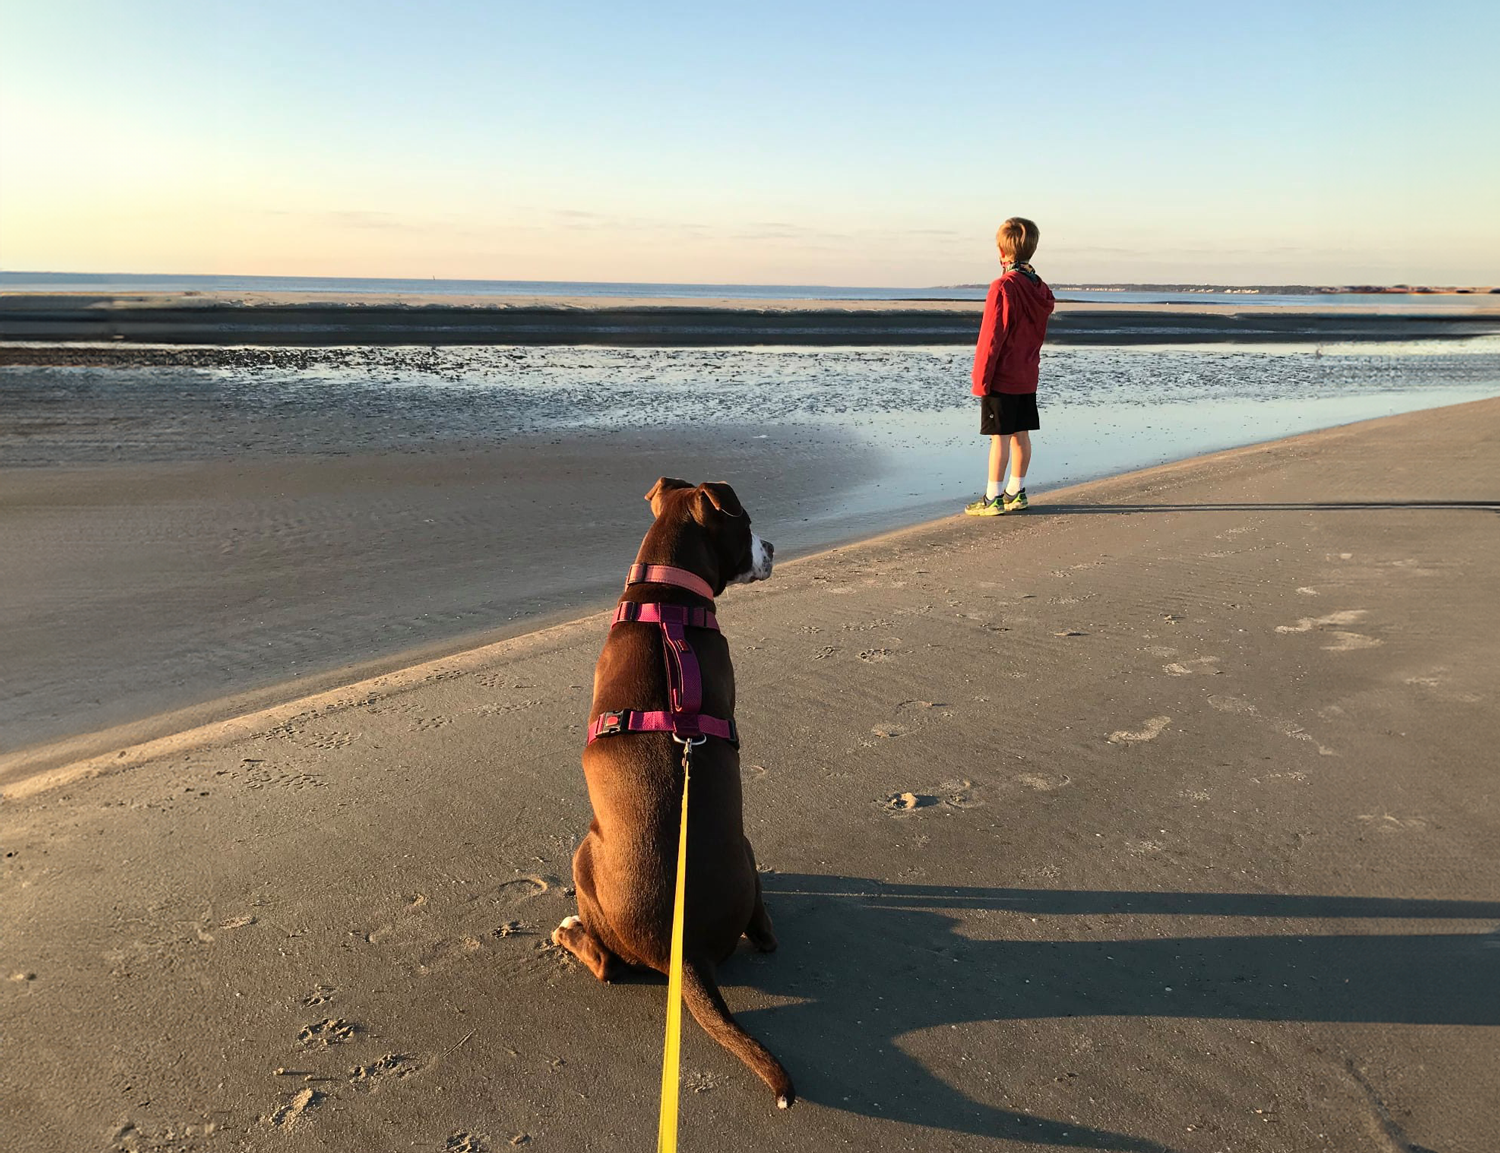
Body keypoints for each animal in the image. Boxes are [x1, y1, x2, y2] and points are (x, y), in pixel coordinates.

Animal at [552, 473, 798, 1103]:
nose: (773, 546)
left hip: (583, 853)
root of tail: (684, 949)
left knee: (606, 964)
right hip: (746, 849)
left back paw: (570, 931)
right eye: (747, 523)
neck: (670, 607)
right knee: (766, 933)